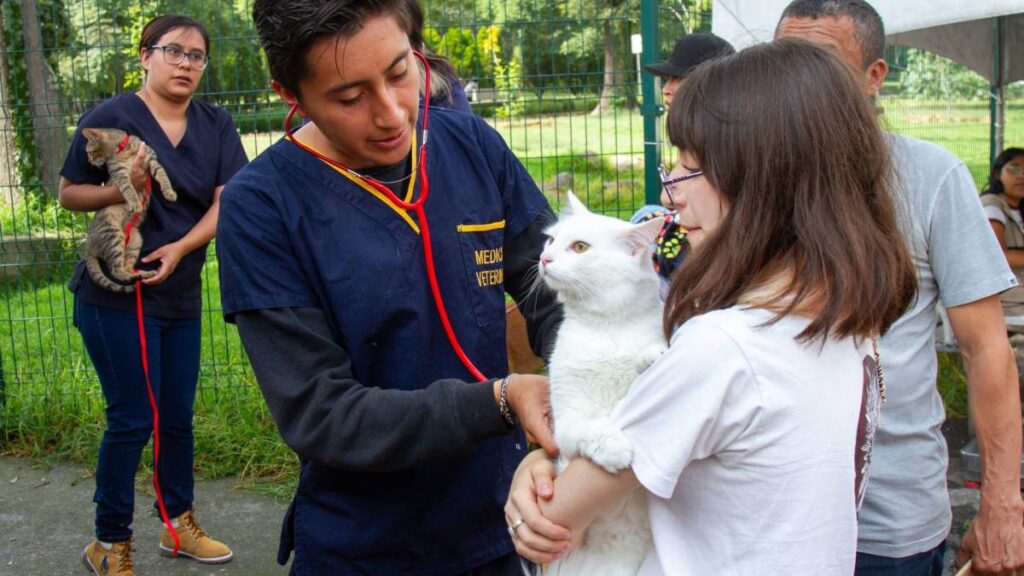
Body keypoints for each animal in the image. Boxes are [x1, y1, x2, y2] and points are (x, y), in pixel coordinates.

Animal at [78, 129, 177, 291]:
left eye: (90, 152)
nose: (90, 162)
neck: (123, 148)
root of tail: (88, 246)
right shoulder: (119, 172)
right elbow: (128, 188)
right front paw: (135, 203)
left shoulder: (152, 160)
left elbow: (163, 176)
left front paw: (169, 192)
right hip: (113, 234)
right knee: (116, 270)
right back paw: (134, 277)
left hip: (135, 241)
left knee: (127, 266)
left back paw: (144, 274)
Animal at [540, 192, 667, 573]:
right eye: (551, 240)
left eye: (580, 247)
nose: (544, 259)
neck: (606, 327)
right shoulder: (567, 426)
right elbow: (593, 426)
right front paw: (615, 450)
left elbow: (646, 360)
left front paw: (653, 356)